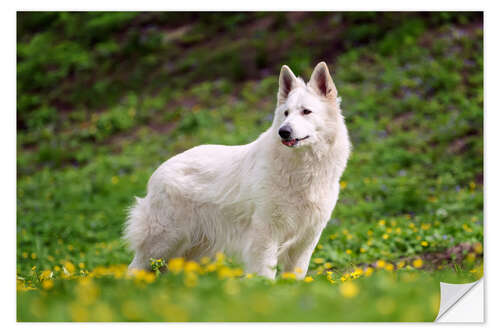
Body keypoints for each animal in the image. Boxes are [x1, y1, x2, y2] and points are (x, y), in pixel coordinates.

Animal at [124, 61, 352, 278]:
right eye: (286, 113)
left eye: (306, 111)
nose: (283, 131)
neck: (302, 169)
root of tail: (160, 169)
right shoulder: (265, 235)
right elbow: (265, 273)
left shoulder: (306, 240)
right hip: (163, 241)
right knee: (133, 268)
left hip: (190, 250)